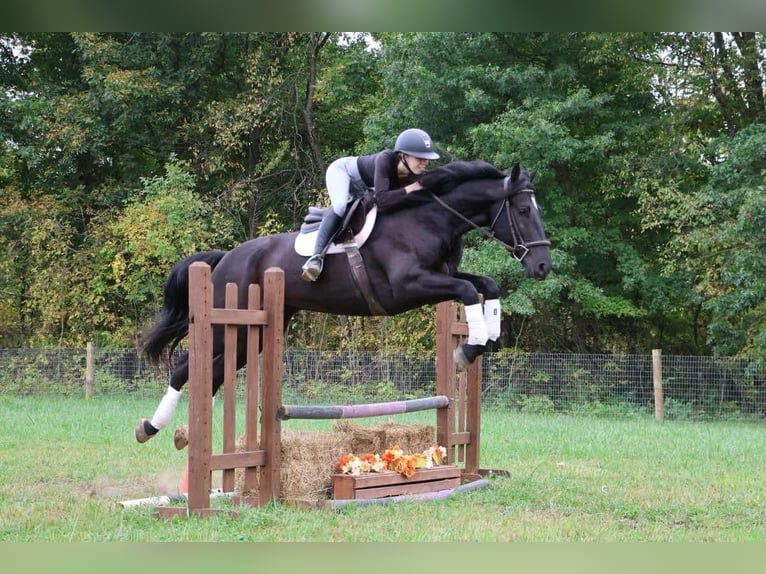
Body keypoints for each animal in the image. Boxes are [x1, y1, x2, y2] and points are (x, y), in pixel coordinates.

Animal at [136, 162, 552, 446]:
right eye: (524, 211)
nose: (543, 266)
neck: (431, 218)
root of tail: (225, 259)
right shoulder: (408, 287)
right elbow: (467, 291)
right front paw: (468, 349)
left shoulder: (440, 277)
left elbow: (485, 284)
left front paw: (488, 336)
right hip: (231, 325)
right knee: (185, 368)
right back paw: (151, 428)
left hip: (252, 333)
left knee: (211, 374)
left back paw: (185, 433)